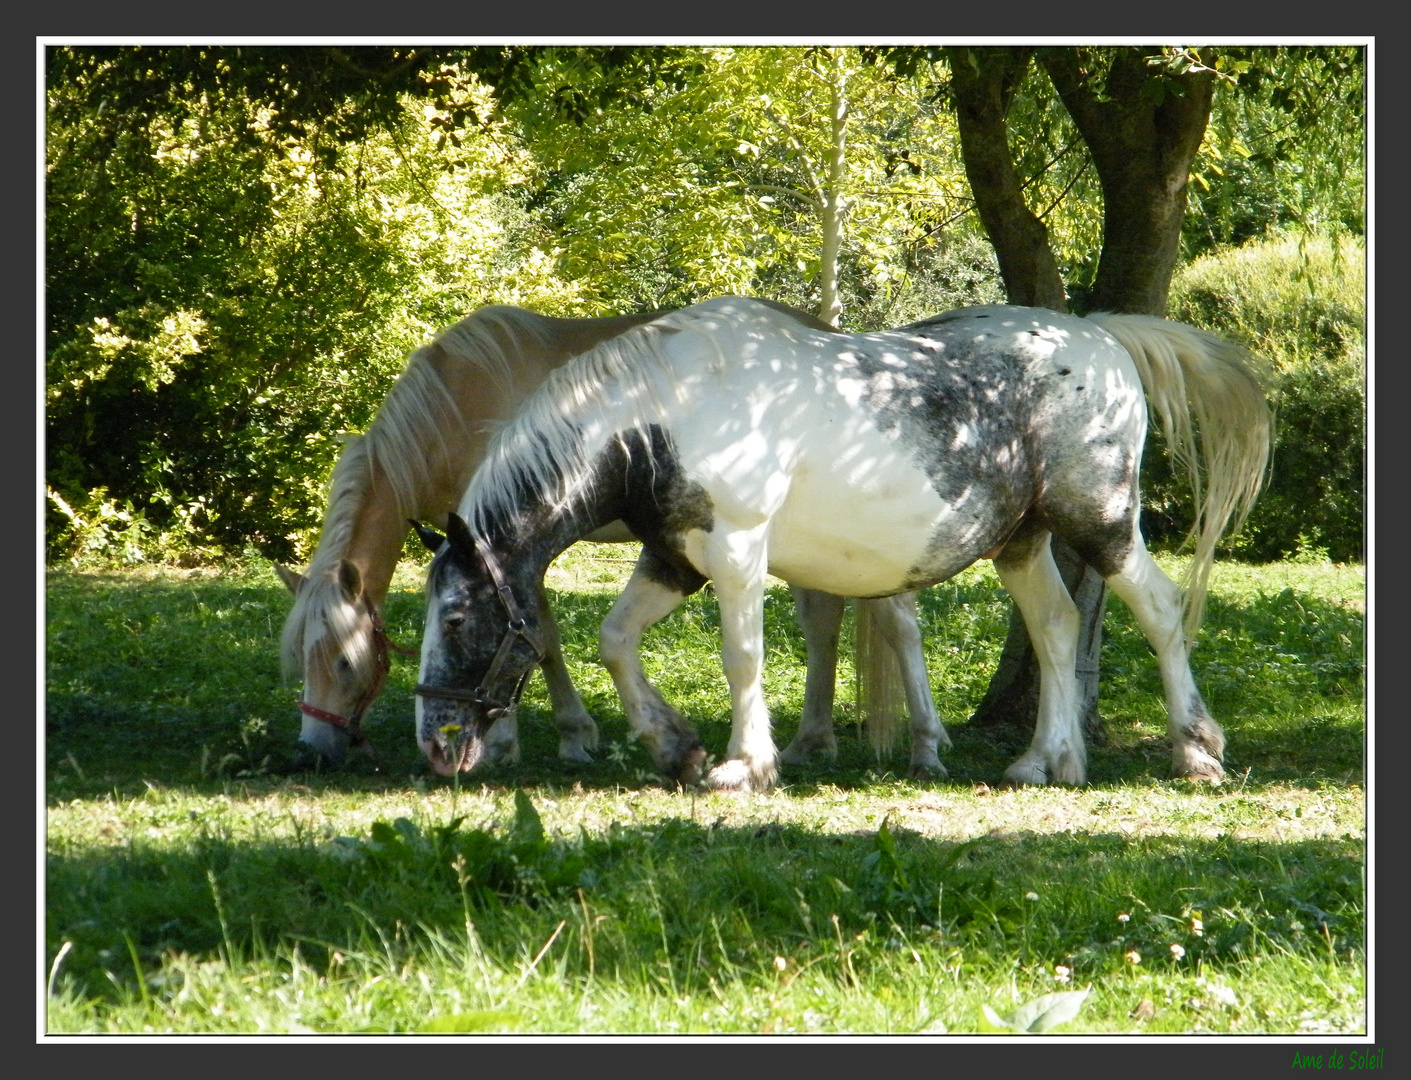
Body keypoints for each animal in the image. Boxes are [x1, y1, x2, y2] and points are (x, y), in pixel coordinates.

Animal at [276, 300, 942, 768]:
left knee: (888, 623)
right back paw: (812, 740)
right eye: (299, 660)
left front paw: (543, 739)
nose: (310, 749)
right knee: (823, 621)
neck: (458, 407)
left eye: (344, 661)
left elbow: (539, 636)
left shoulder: (516, 549)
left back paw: (913, 743)